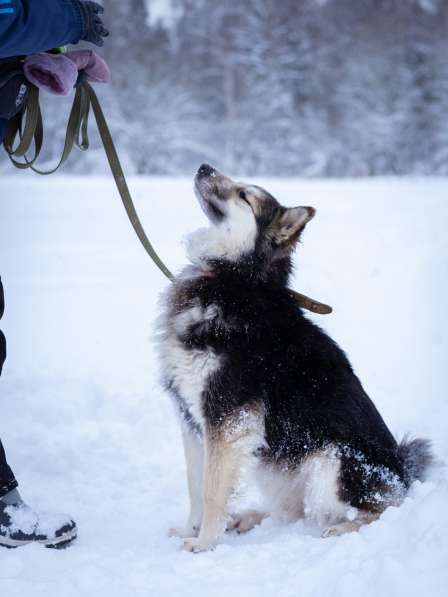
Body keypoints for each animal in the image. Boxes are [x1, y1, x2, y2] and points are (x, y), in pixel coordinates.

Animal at [156, 164, 432, 556]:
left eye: (244, 195)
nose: (204, 167)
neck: (232, 279)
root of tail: (404, 474)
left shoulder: (228, 419)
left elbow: (211, 490)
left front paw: (206, 542)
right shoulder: (191, 417)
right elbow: (195, 485)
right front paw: (190, 530)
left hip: (332, 461)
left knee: (375, 509)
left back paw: (343, 528)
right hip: (278, 466)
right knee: (295, 512)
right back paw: (249, 518)